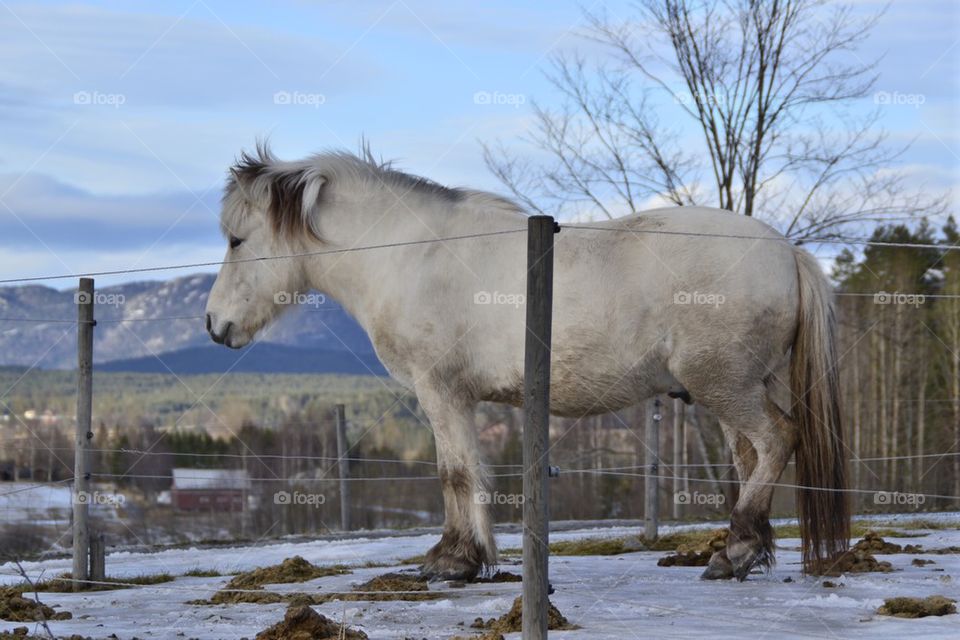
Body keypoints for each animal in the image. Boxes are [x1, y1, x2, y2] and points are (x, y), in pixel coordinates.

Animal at [204, 144, 848, 580]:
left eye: (237, 240)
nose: (214, 325)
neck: (412, 254)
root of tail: (787, 250)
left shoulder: (440, 393)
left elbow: (456, 473)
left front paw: (454, 559)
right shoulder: (459, 400)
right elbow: (468, 472)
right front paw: (470, 557)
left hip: (724, 386)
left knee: (776, 441)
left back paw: (736, 549)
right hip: (739, 386)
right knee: (752, 457)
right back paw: (743, 548)